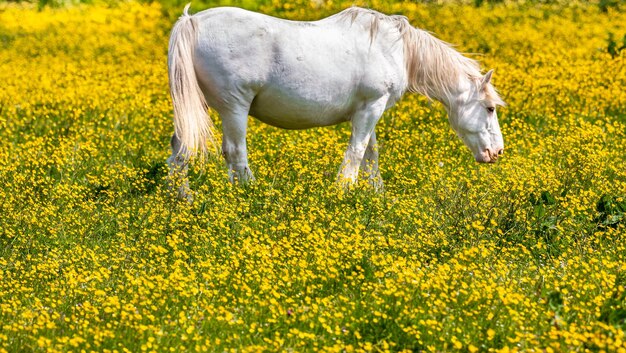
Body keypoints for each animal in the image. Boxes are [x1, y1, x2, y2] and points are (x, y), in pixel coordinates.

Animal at [165, 4, 502, 191]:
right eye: (488, 108)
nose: (496, 152)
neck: (397, 48)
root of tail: (191, 21)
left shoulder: (369, 110)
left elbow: (370, 155)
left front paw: (376, 195)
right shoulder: (372, 107)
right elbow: (356, 153)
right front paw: (344, 192)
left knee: (179, 152)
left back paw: (181, 200)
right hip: (234, 108)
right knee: (235, 153)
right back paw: (252, 194)